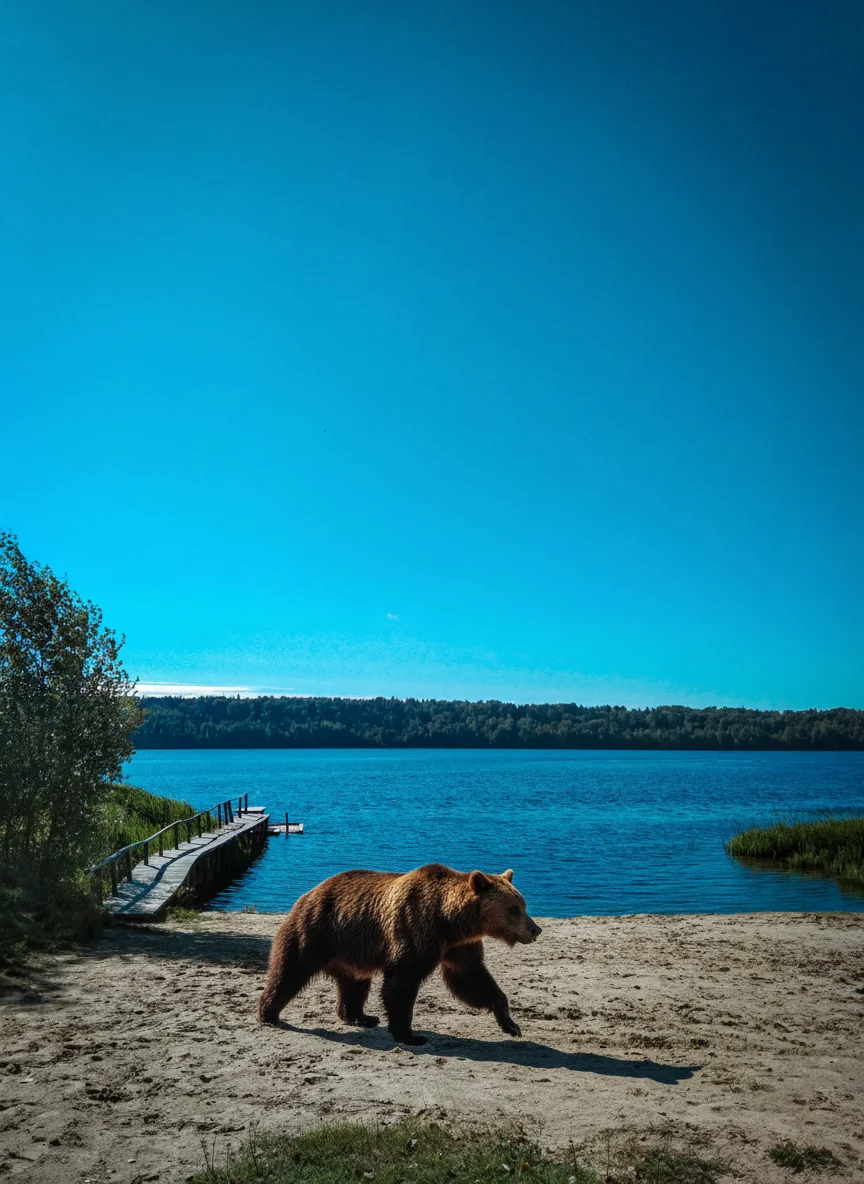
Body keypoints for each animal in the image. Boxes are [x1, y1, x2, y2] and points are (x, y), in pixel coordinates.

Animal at [257, 862, 542, 1044]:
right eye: (514, 909)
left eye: (523, 904)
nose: (535, 929)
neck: (449, 921)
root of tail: (307, 894)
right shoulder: (415, 928)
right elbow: (401, 982)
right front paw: (409, 1034)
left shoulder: (459, 946)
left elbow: (471, 979)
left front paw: (510, 1024)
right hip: (317, 931)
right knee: (290, 971)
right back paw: (269, 1013)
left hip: (352, 948)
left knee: (355, 983)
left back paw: (360, 1016)